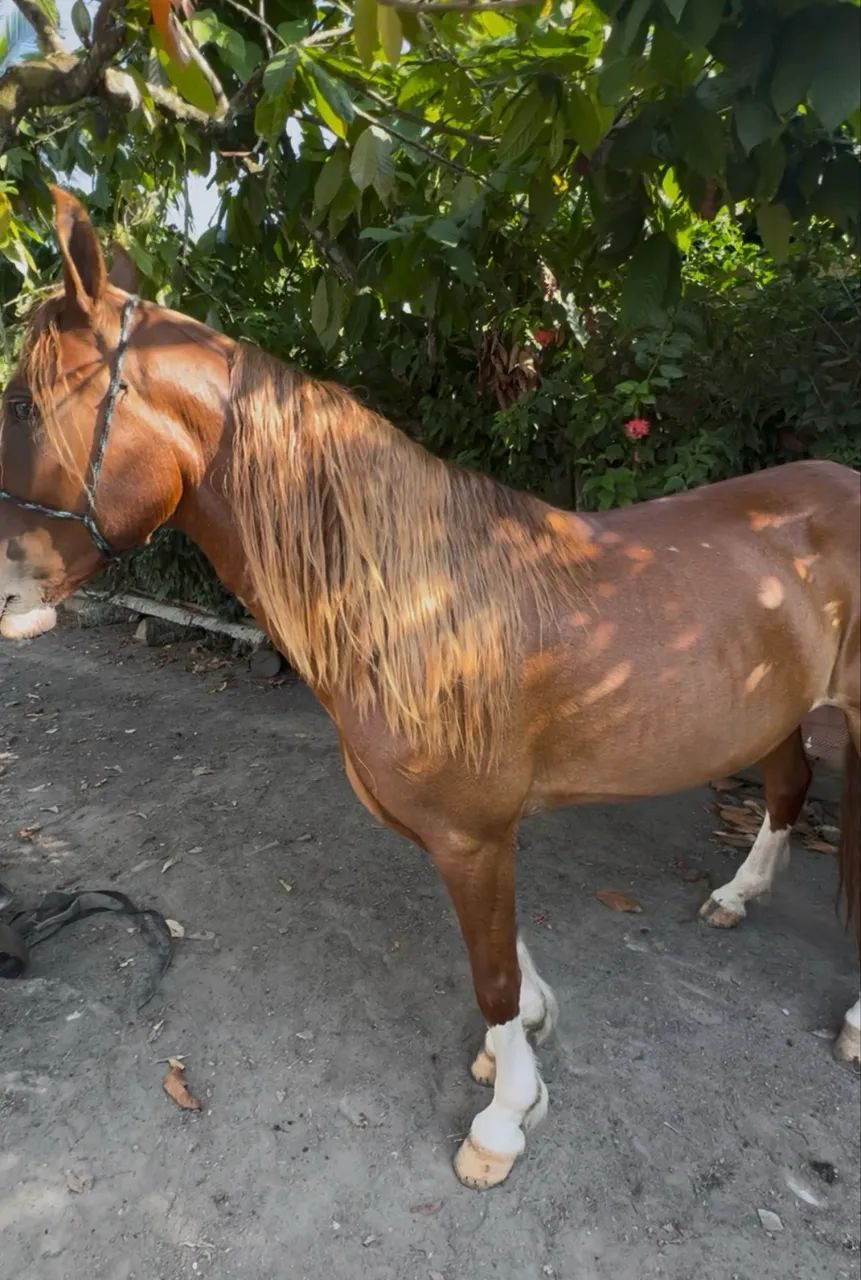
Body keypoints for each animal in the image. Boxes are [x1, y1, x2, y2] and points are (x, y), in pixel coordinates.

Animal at [1, 188, 858, 1190]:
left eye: (21, 403)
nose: (5, 588)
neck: (420, 600)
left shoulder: (471, 833)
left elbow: (489, 971)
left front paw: (502, 1120)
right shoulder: (474, 836)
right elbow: (507, 956)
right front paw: (517, 1043)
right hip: (776, 708)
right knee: (787, 787)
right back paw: (736, 894)